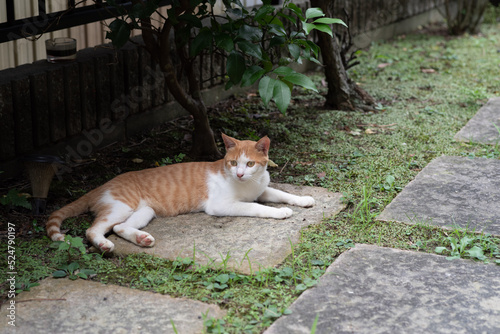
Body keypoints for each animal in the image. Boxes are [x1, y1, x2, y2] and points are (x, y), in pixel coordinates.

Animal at [47, 134, 312, 252]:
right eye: (232, 162)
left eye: (249, 164)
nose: (239, 174)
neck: (248, 184)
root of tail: (101, 185)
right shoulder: (221, 205)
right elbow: (255, 207)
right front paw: (279, 213)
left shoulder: (261, 189)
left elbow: (280, 193)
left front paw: (303, 199)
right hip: (120, 206)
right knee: (94, 229)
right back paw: (103, 244)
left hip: (144, 211)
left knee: (120, 228)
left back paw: (141, 239)